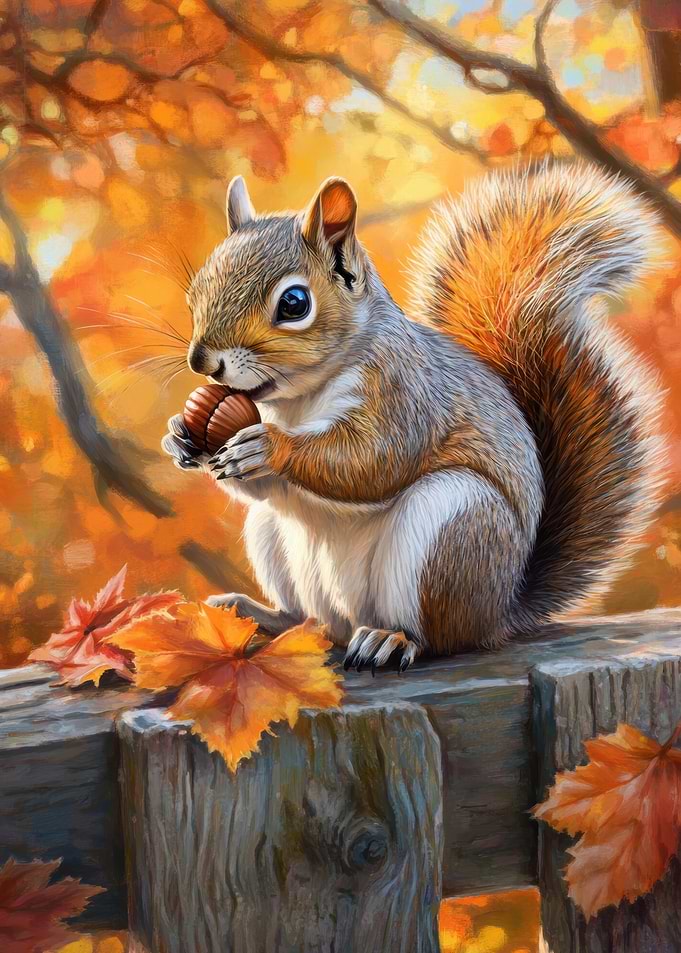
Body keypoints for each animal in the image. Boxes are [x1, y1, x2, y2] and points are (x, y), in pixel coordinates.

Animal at [163, 162, 665, 672]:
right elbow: (264, 487)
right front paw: (181, 438)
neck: (298, 401)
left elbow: (373, 461)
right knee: (308, 621)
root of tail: (500, 612)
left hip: (452, 526)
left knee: (438, 637)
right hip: (272, 536)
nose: (202, 362)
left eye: (294, 303)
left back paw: (391, 640)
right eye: (196, 291)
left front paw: (268, 446)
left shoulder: (405, 394)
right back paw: (257, 613)